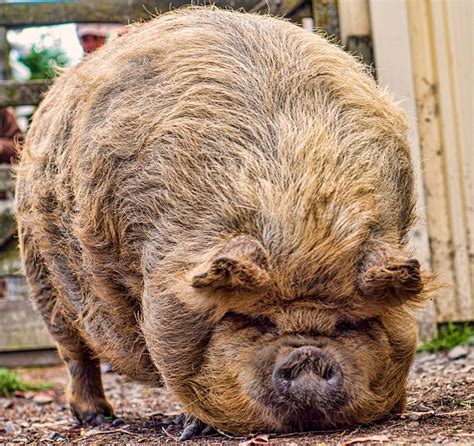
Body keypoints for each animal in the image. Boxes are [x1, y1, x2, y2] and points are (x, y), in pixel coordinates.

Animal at [14, 6, 432, 440]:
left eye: (348, 323)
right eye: (253, 319)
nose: (307, 359)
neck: (296, 211)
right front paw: (193, 429)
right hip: (40, 275)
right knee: (74, 351)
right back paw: (96, 418)